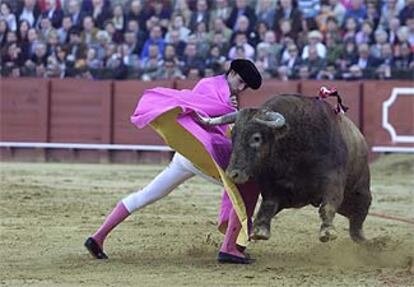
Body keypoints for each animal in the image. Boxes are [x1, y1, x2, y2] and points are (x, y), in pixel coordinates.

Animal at [201, 94, 372, 243]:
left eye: (256, 138)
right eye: (233, 136)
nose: (232, 174)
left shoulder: (333, 180)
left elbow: (328, 204)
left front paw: (327, 231)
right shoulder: (275, 189)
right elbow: (267, 205)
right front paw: (259, 231)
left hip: (360, 192)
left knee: (358, 216)